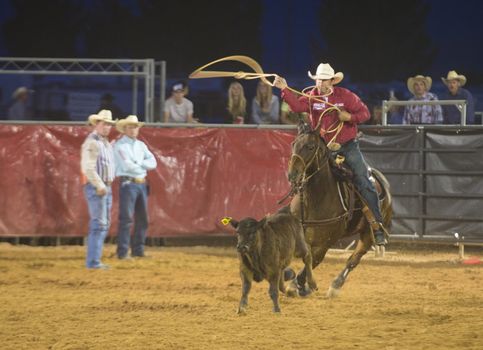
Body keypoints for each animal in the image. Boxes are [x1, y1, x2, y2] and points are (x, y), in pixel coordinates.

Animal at [288, 123, 394, 298]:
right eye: (293, 144)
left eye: (310, 147)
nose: (292, 174)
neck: (315, 199)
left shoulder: (325, 243)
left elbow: (313, 259)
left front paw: (299, 285)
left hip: (368, 234)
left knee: (354, 259)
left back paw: (335, 285)